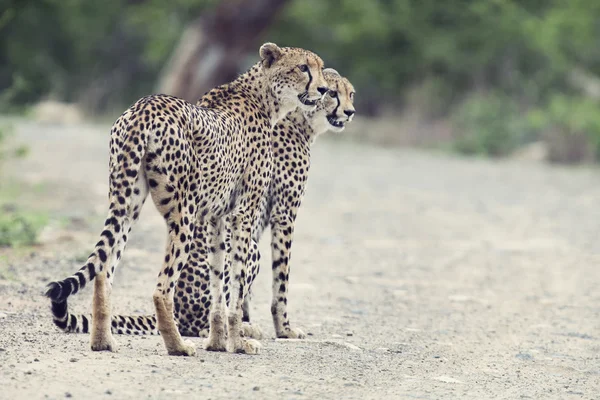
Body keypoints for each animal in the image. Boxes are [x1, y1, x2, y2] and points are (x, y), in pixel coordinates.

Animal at [45, 43, 328, 356]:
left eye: (319, 68)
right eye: (303, 68)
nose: (324, 89)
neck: (265, 98)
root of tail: (145, 105)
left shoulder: (217, 217)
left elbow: (219, 281)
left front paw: (217, 343)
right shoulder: (242, 214)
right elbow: (236, 285)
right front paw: (239, 343)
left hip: (126, 203)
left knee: (103, 270)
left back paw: (102, 341)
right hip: (183, 213)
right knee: (161, 287)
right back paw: (178, 346)